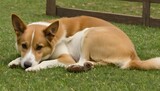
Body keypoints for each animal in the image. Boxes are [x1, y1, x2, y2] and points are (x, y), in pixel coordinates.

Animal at [8, 14, 160, 72]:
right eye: (24, 46)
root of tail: (133, 55)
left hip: (89, 33)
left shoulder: (66, 58)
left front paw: (33, 68)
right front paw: (16, 61)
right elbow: (22, 57)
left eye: (39, 47)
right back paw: (87, 66)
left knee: (81, 60)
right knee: (96, 63)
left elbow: (46, 62)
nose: (27, 65)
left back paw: (76, 67)